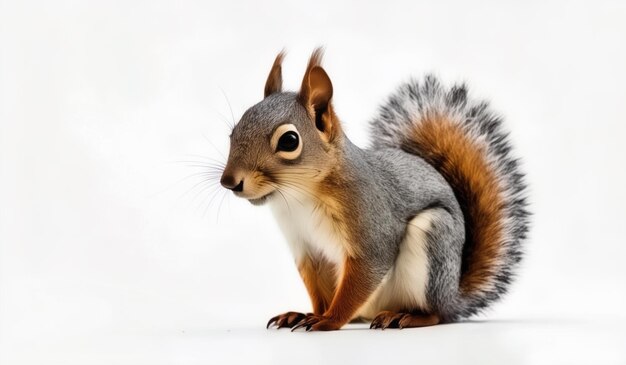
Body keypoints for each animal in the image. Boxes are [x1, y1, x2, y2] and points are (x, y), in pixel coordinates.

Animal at [219, 48, 528, 330]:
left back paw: (407, 317)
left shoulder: (370, 220)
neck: (300, 196)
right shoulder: (308, 248)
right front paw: (309, 314)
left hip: (435, 239)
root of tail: (452, 297)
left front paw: (329, 319)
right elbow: (318, 285)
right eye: (233, 133)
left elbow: (364, 272)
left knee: (436, 314)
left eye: (289, 141)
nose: (229, 181)